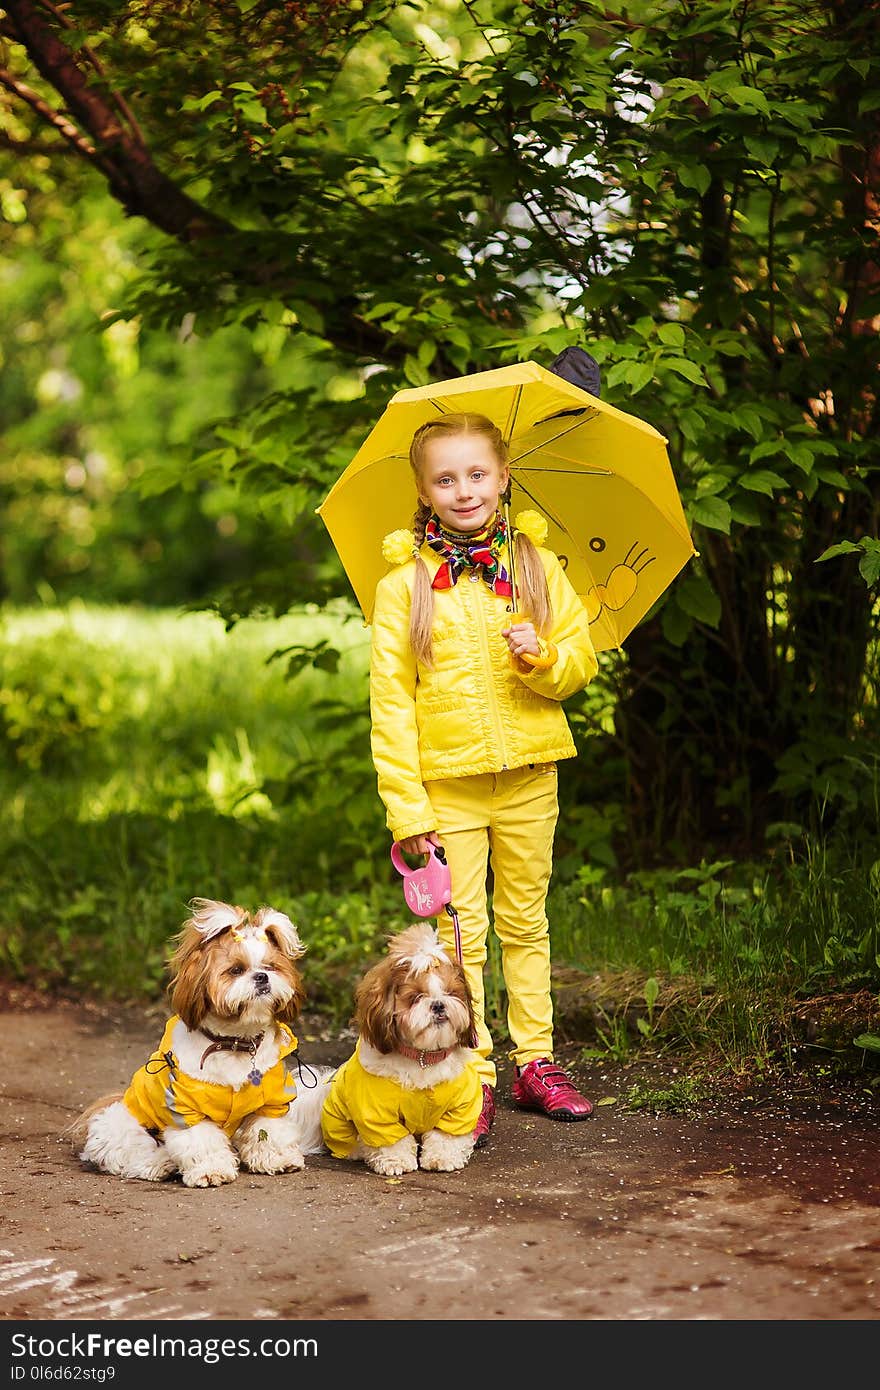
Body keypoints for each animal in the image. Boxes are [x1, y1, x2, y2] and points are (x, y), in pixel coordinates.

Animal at [66, 900, 329, 1184]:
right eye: (236, 970)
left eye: (270, 967)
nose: (261, 977)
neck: (234, 1043)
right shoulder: (187, 1110)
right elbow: (201, 1141)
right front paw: (212, 1171)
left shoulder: (271, 1102)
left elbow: (268, 1132)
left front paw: (278, 1160)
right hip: (119, 1125)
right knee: (131, 1152)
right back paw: (160, 1163)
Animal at [322, 922, 483, 1173]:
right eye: (416, 997)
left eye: (450, 993)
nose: (438, 1004)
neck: (423, 1057)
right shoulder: (377, 1114)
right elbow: (392, 1141)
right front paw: (396, 1162)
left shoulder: (459, 1108)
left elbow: (444, 1137)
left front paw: (442, 1158)